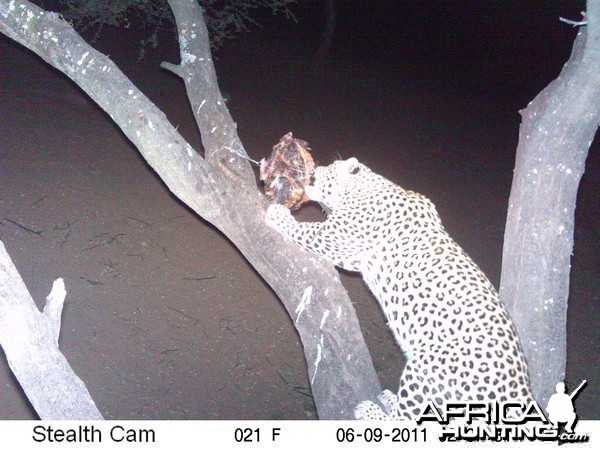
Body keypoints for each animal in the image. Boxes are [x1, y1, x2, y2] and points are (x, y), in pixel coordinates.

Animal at [264, 157, 532, 418]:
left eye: (328, 167)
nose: (314, 169)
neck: (363, 187)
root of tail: (521, 390)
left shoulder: (330, 237)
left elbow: (302, 229)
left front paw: (276, 213)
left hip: (424, 368)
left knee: (406, 421)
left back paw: (372, 410)